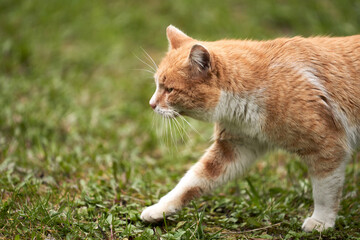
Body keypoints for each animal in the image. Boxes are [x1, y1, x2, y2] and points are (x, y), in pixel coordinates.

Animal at [141, 25, 360, 232]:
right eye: (157, 84)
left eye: (170, 90)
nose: (151, 104)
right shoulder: (235, 147)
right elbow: (193, 180)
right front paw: (159, 209)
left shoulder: (328, 147)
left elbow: (324, 191)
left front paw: (321, 222)